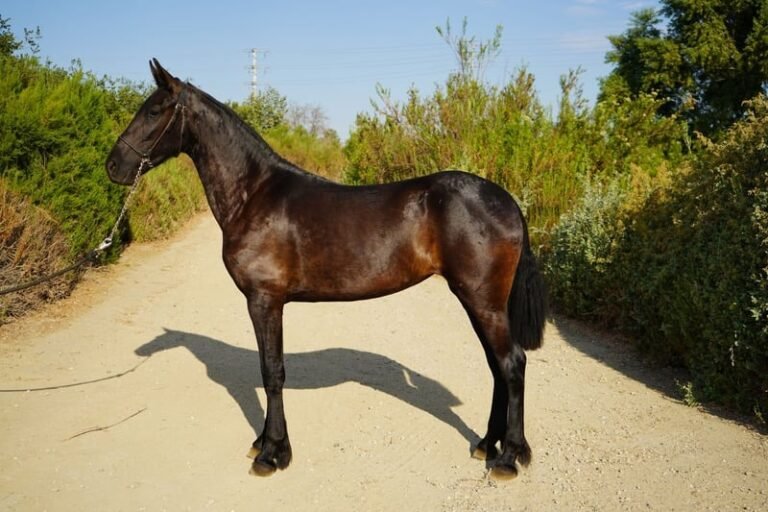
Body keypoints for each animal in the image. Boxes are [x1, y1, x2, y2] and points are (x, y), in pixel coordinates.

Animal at [106, 59, 547, 480]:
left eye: (155, 110)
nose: (113, 166)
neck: (254, 194)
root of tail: (506, 201)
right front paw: (264, 442)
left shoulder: (264, 300)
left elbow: (272, 372)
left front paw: (272, 454)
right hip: (480, 301)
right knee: (497, 366)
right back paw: (487, 445)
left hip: (481, 299)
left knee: (511, 364)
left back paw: (509, 457)